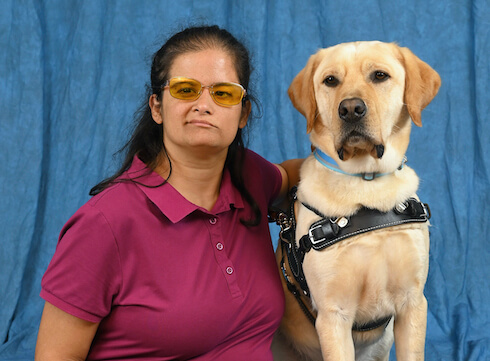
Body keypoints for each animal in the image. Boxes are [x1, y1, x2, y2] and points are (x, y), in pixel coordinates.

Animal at [272, 42, 440, 360]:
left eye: (380, 75)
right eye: (330, 81)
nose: (350, 109)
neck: (366, 185)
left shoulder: (413, 303)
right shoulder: (333, 315)